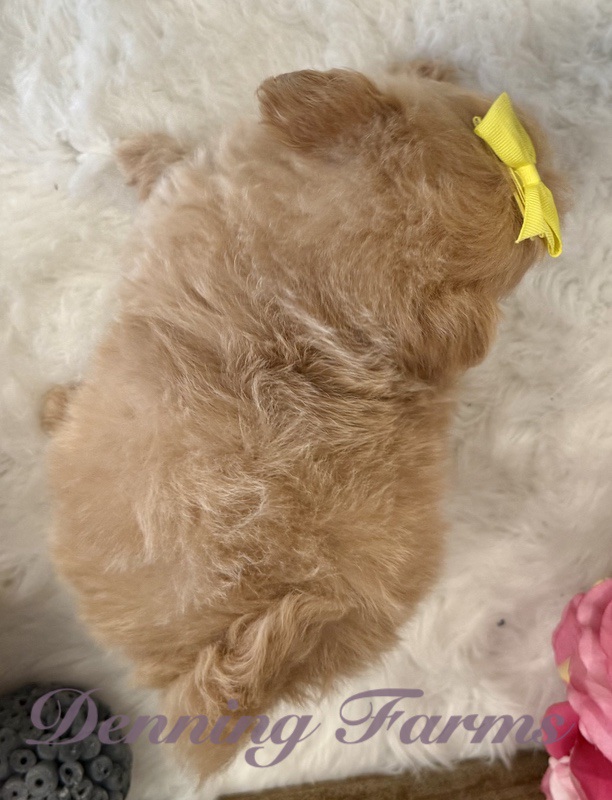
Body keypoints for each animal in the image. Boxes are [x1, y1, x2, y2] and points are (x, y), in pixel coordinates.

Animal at [42, 61, 563, 778]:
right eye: (472, 116)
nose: (544, 145)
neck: (335, 297)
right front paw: (427, 63)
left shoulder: (186, 185)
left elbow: (161, 164)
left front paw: (129, 149)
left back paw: (51, 406)